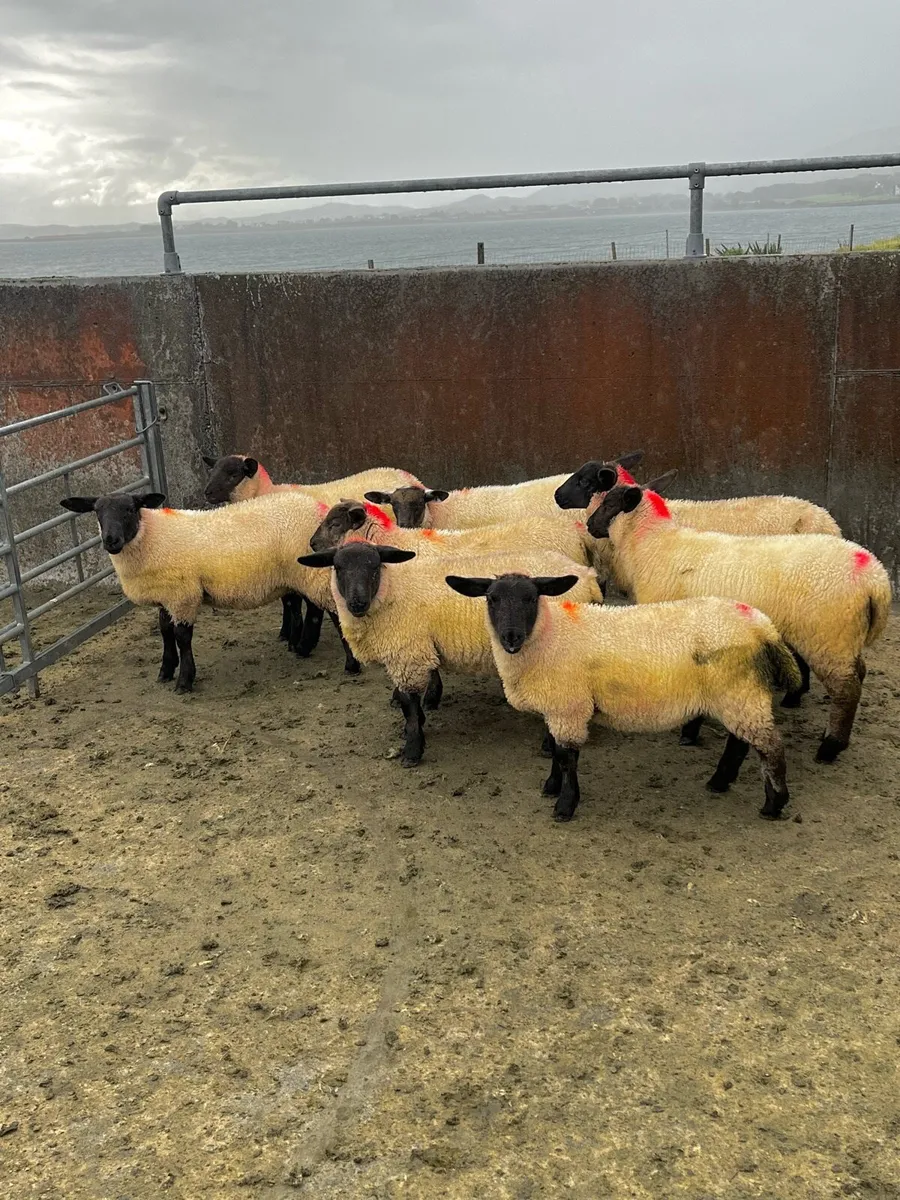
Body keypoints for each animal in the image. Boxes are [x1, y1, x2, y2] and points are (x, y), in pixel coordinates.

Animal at [60, 490, 360, 691]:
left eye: (130, 509)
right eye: (97, 512)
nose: (111, 540)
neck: (151, 538)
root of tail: (316, 506)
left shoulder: (183, 594)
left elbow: (182, 636)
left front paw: (184, 680)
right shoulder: (166, 595)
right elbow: (165, 631)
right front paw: (166, 670)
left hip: (310, 573)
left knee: (333, 612)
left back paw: (350, 664)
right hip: (300, 574)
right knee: (312, 608)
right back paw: (302, 646)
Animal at [203, 454, 423, 654]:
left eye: (233, 475)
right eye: (212, 471)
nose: (207, 493)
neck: (267, 492)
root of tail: (410, 477)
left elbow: (294, 601)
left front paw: (295, 639)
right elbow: (288, 599)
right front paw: (286, 633)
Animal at [296, 542, 602, 766]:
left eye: (374, 566)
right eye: (338, 567)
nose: (357, 603)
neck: (391, 590)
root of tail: (586, 574)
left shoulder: (408, 654)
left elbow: (408, 703)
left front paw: (412, 749)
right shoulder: (418, 650)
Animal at [446, 572, 800, 822]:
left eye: (531, 598)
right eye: (492, 598)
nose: (511, 637)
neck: (548, 635)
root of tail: (761, 624)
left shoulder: (569, 706)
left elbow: (567, 757)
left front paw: (565, 805)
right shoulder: (558, 705)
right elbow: (557, 752)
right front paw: (551, 787)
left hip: (738, 689)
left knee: (769, 746)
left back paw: (774, 804)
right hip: (737, 693)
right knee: (741, 742)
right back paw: (720, 781)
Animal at [584, 471, 891, 763]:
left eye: (608, 504)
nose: (588, 525)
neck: (652, 544)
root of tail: (876, 579)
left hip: (829, 636)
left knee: (846, 691)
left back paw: (830, 747)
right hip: (844, 638)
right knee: (858, 674)